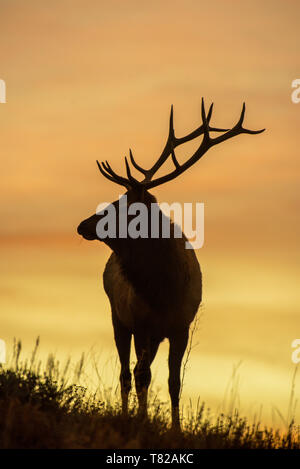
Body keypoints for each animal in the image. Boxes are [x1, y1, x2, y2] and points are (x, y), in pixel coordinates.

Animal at [77, 99, 264, 428]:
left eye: (118, 206)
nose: (82, 225)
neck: (163, 291)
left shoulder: (180, 327)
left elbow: (174, 382)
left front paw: (176, 428)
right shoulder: (140, 322)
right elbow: (141, 375)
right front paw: (141, 419)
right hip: (117, 317)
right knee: (127, 373)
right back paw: (126, 413)